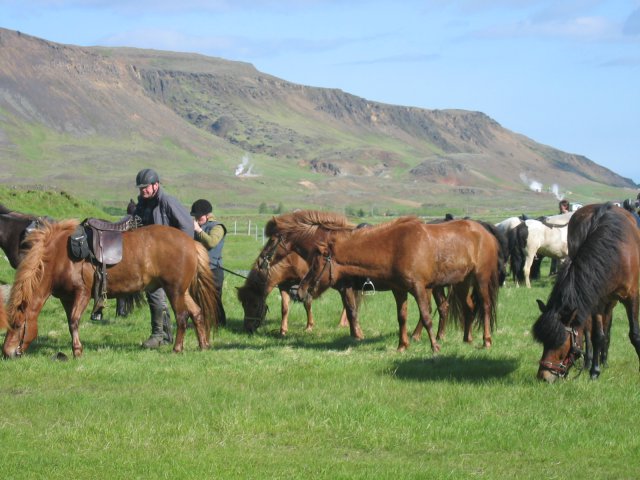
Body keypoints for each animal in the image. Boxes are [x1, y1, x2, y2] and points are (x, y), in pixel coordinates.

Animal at [1, 219, 218, 358]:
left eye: (18, 325)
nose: (7, 353)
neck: (59, 256)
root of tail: (191, 242)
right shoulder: (66, 298)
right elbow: (71, 323)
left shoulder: (82, 293)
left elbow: (74, 321)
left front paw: (77, 351)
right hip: (182, 291)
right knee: (197, 313)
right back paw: (203, 345)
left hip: (174, 290)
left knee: (182, 317)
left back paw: (177, 349)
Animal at [296, 216, 500, 350]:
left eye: (315, 265)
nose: (300, 291)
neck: (396, 247)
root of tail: (486, 232)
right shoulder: (399, 290)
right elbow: (401, 317)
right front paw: (402, 346)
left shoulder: (419, 288)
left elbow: (426, 316)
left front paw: (434, 347)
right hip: (462, 284)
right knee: (469, 308)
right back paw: (467, 339)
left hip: (481, 279)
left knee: (485, 306)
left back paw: (487, 340)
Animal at [528, 203, 640, 382]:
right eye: (544, 343)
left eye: (561, 343)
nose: (543, 376)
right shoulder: (597, 300)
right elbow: (596, 336)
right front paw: (594, 370)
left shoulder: (632, 296)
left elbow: (634, 334)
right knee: (590, 330)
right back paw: (590, 361)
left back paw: (604, 359)